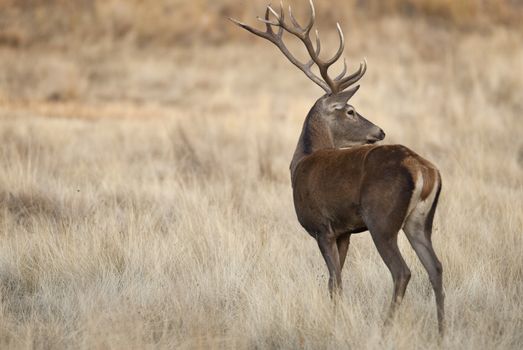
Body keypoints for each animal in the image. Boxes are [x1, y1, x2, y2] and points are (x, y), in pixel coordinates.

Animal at [231, 0, 444, 334]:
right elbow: (337, 280)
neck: (301, 163)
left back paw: (386, 326)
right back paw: (441, 331)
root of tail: (425, 171)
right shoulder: (344, 232)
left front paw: (334, 320)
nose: (380, 131)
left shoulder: (322, 226)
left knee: (402, 271)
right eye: (351, 111)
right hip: (420, 221)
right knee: (435, 267)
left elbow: (334, 281)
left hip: (381, 218)